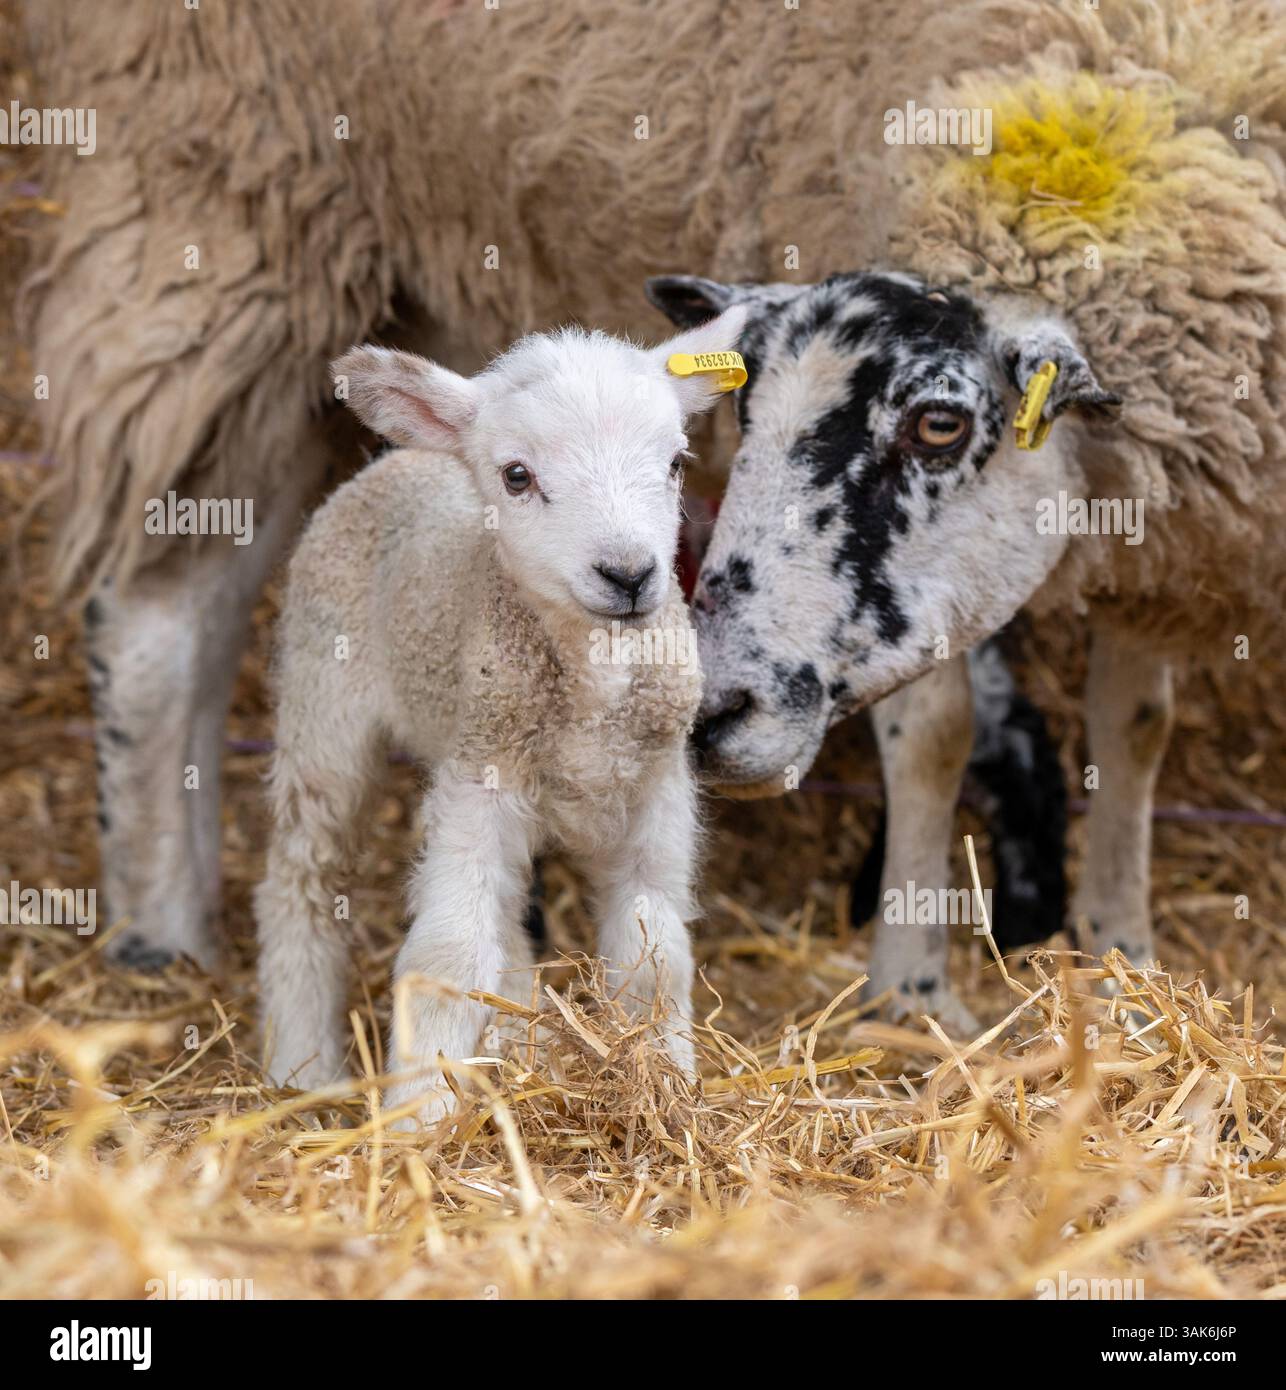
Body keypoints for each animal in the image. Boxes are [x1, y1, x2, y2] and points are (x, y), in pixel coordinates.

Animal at [254, 305, 745, 1116]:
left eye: (676, 463)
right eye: (518, 476)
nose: (629, 574)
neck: (593, 685)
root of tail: (406, 459)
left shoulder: (656, 790)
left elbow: (655, 957)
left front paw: (668, 1083)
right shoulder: (479, 772)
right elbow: (448, 955)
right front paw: (423, 1115)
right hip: (323, 698)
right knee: (302, 875)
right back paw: (303, 1065)